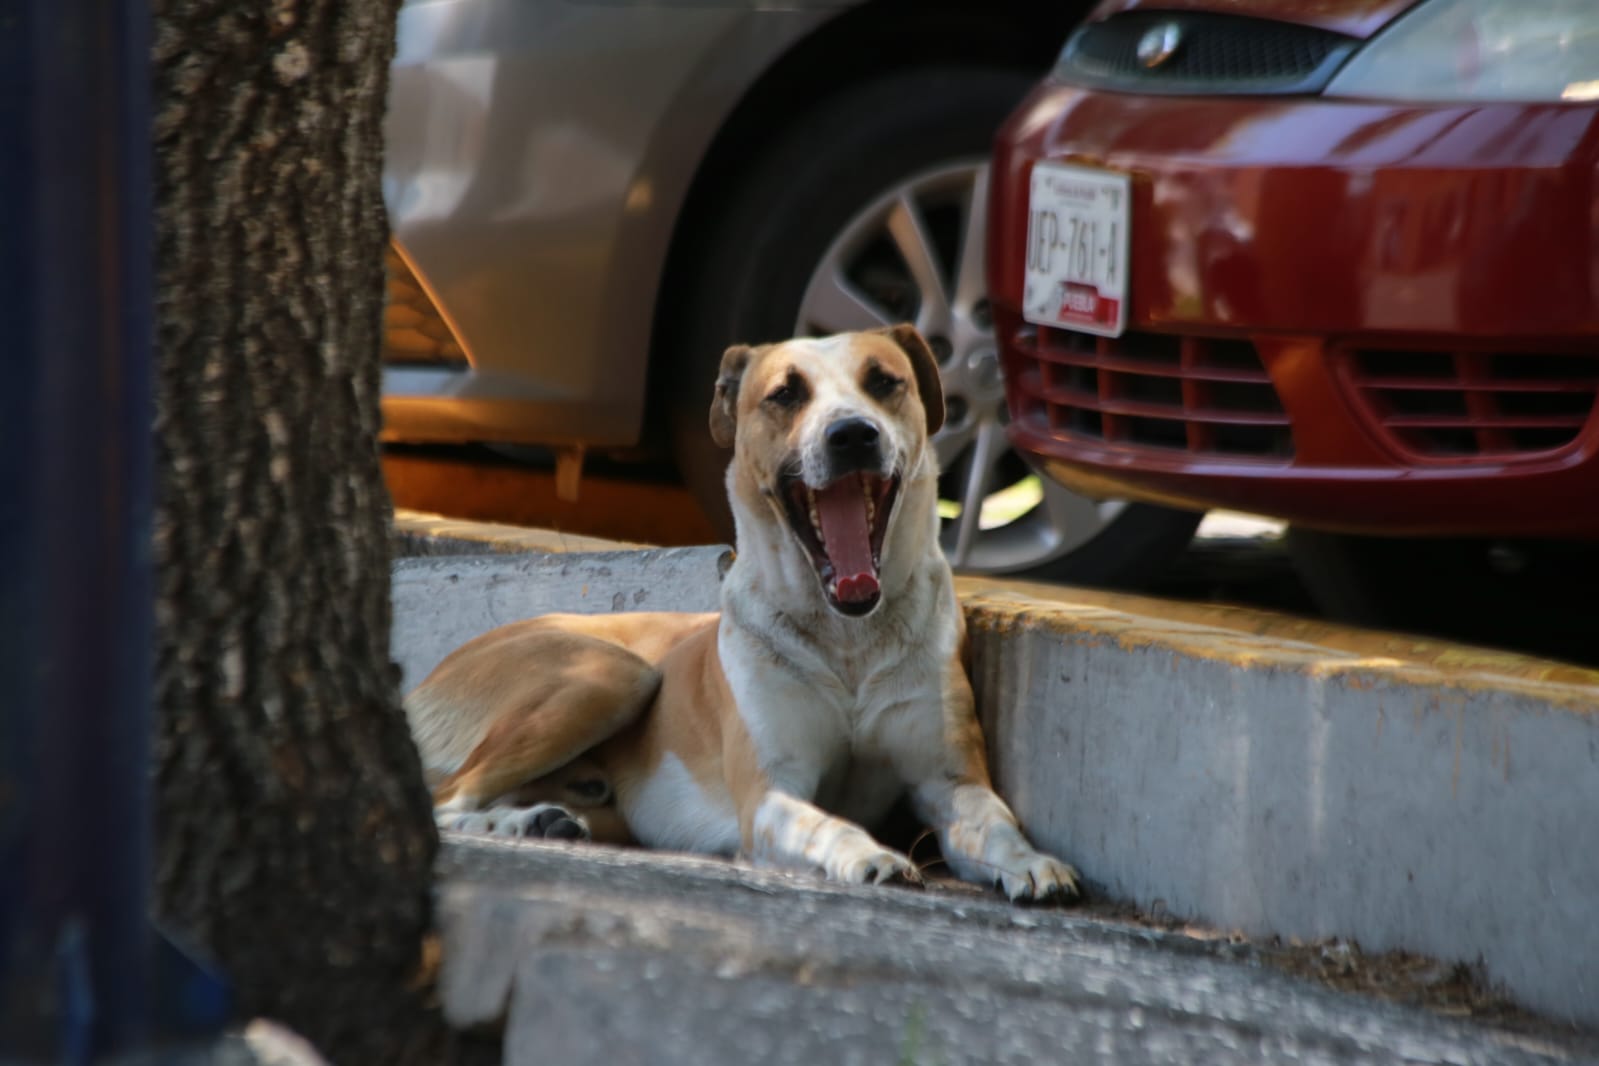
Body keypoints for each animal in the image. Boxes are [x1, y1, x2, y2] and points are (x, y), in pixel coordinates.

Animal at [406, 322, 1080, 901]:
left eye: (884, 381)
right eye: (786, 393)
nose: (853, 434)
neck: (848, 637)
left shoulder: (950, 781)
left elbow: (994, 821)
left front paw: (1031, 862)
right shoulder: (769, 795)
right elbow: (825, 823)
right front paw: (871, 854)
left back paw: (544, 816)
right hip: (612, 674)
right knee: (445, 798)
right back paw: (518, 825)